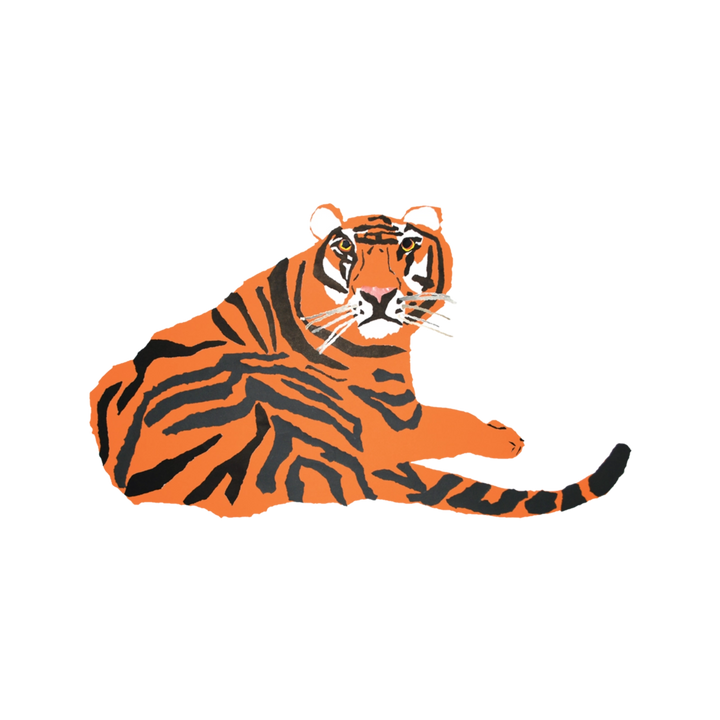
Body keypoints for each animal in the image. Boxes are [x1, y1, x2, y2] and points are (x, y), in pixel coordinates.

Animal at [86, 201, 634, 521]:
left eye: (408, 246)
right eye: (346, 251)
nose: (376, 296)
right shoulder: (393, 418)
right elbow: (447, 420)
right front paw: (506, 438)